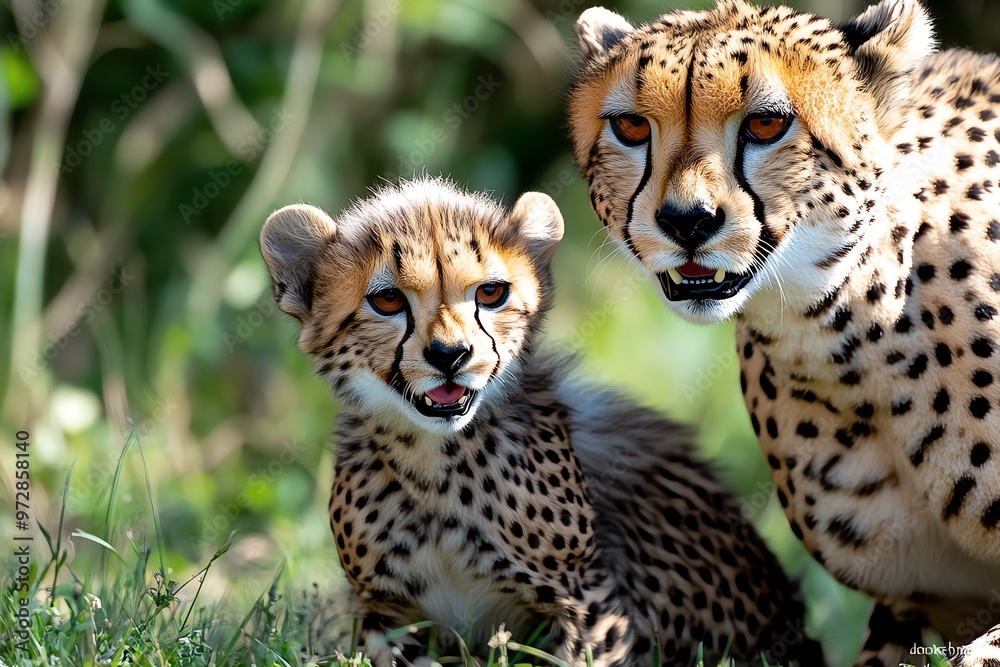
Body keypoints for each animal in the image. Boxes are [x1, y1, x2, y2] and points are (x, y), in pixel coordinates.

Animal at [259, 177, 822, 665]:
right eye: (388, 299)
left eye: (490, 294)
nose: (450, 355)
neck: (434, 464)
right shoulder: (382, 612)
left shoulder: (584, 595)